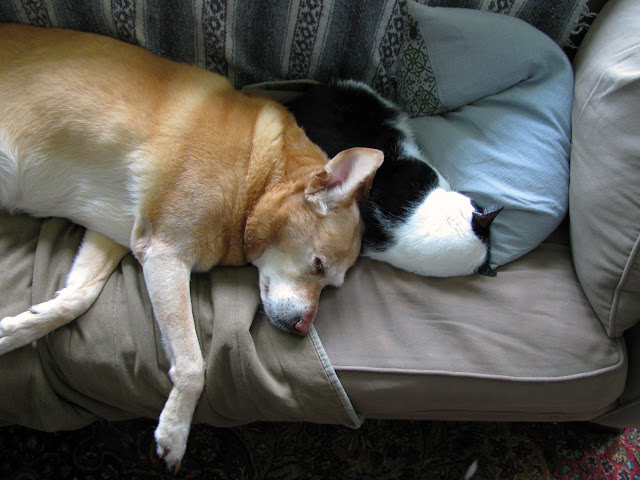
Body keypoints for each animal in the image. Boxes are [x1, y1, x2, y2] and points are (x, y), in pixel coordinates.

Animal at [0, 24, 383, 470]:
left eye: (332, 286)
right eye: (319, 266)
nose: (304, 329)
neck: (255, 175)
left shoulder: (115, 234)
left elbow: (76, 297)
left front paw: (18, 330)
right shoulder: (164, 254)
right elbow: (193, 363)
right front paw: (176, 428)